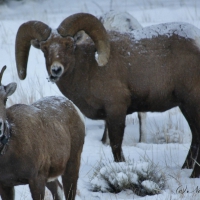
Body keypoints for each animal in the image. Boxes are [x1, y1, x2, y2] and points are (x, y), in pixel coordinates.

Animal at [0, 66, 84, 200]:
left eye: (5, 98)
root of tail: (74, 108)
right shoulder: (5, 184)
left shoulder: (36, 178)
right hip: (51, 175)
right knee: (58, 189)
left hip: (72, 163)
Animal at [15, 12, 200, 177]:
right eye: (44, 48)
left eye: (68, 44)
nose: (55, 70)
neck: (88, 68)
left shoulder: (116, 110)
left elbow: (116, 147)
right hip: (185, 107)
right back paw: (186, 168)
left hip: (191, 103)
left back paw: (192, 175)